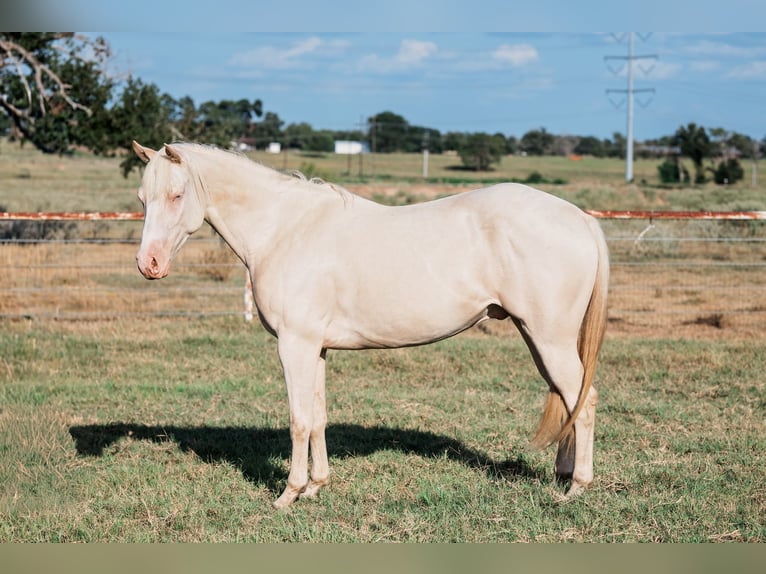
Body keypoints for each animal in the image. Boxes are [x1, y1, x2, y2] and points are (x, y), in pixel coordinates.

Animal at [131, 141, 609, 509]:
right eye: (141, 199)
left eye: (176, 195)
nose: (148, 264)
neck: (286, 230)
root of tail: (581, 218)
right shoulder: (315, 348)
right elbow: (319, 417)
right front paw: (316, 488)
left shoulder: (294, 345)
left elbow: (298, 419)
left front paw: (288, 494)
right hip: (537, 338)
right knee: (569, 400)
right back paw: (563, 474)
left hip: (549, 339)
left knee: (583, 401)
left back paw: (576, 488)